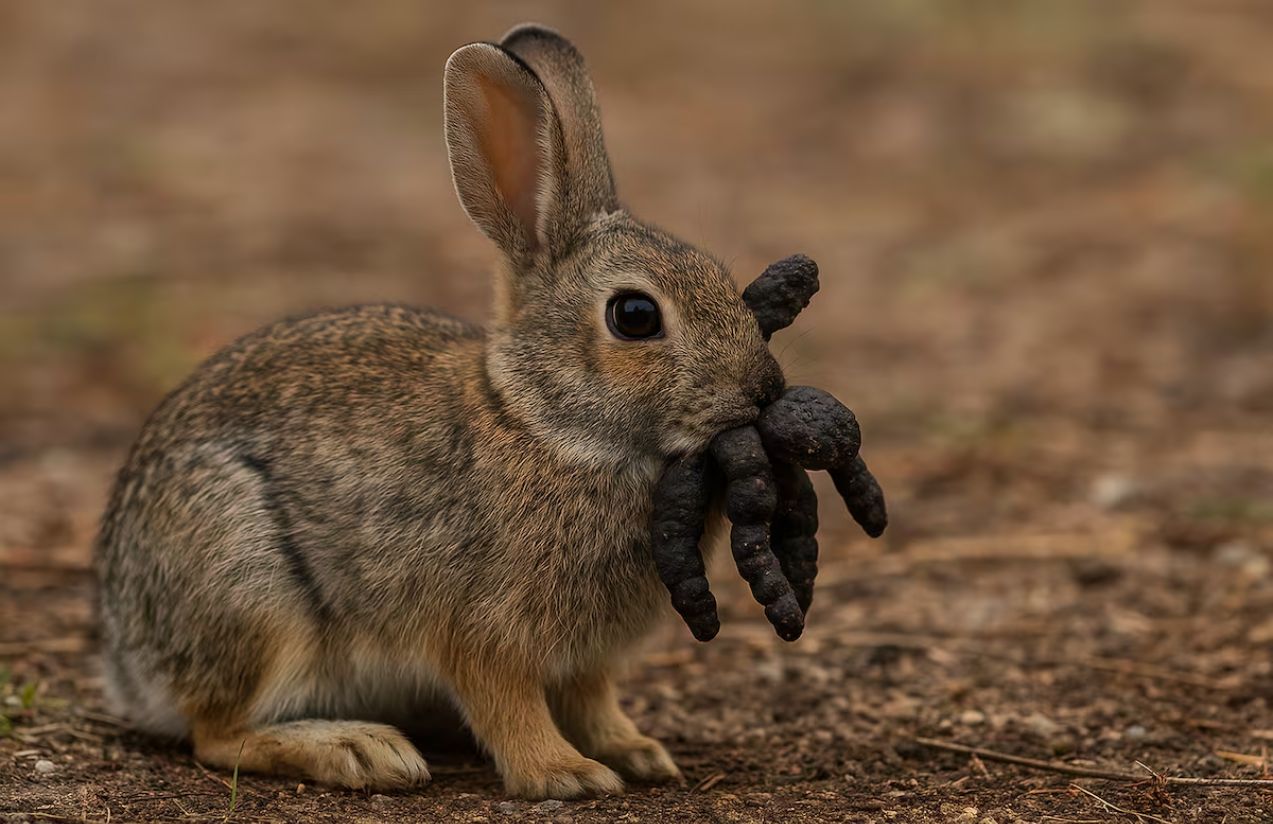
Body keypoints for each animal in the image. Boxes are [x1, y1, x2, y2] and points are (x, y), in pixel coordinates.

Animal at [94, 23, 785, 800]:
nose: (763, 390)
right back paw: (358, 749)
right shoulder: (480, 631)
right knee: (216, 734)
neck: (545, 424)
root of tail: (127, 658)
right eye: (634, 316)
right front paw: (564, 772)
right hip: (251, 588)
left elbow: (593, 701)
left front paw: (636, 752)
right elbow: (508, 706)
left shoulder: (585, 659)